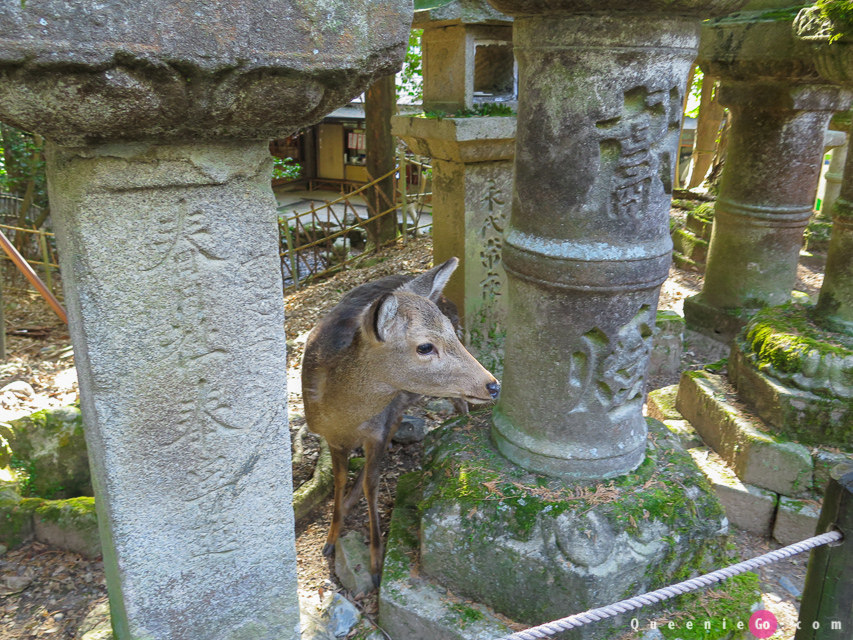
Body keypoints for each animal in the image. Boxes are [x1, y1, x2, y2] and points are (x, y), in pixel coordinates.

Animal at [302, 258, 496, 588]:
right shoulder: (331, 438)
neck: (342, 416)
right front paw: (329, 540)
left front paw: (376, 565)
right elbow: (339, 481)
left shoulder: (376, 431)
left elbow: (373, 484)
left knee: (456, 406)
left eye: (451, 334)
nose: (493, 385)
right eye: (425, 347)